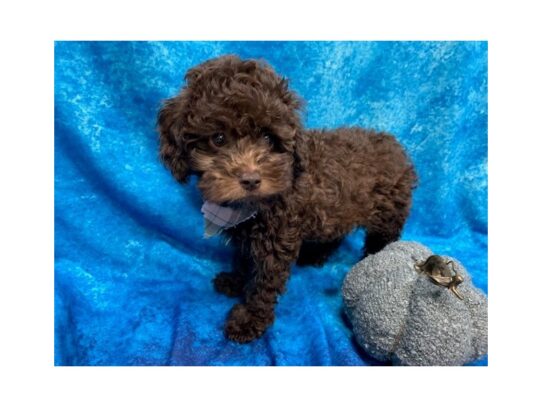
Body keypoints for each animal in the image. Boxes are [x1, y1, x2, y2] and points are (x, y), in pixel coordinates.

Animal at [159, 55, 418, 344]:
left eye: (268, 138)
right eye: (218, 138)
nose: (251, 180)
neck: (252, 206)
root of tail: (395, 145)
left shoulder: (278, 241)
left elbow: (264, 285)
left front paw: (250, 319)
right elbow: (242, 259)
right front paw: (235, 281)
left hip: (389, 214)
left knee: (381, 241)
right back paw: (317, 255)